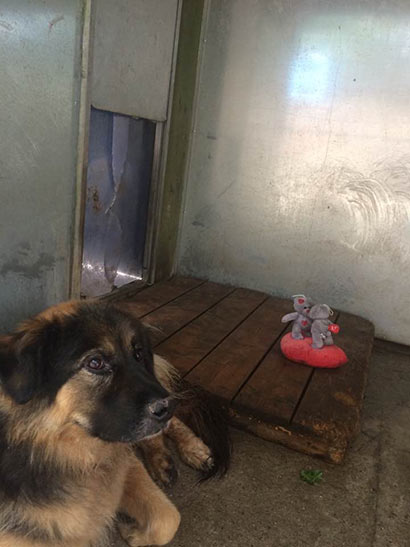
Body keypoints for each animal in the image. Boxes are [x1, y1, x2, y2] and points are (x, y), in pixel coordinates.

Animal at [0, 300, 231, 546]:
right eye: (95, 362)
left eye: (138, 354)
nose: (168, 406)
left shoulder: (123, 466)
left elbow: (169, 519)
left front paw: (135, 534)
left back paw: (192, 450)